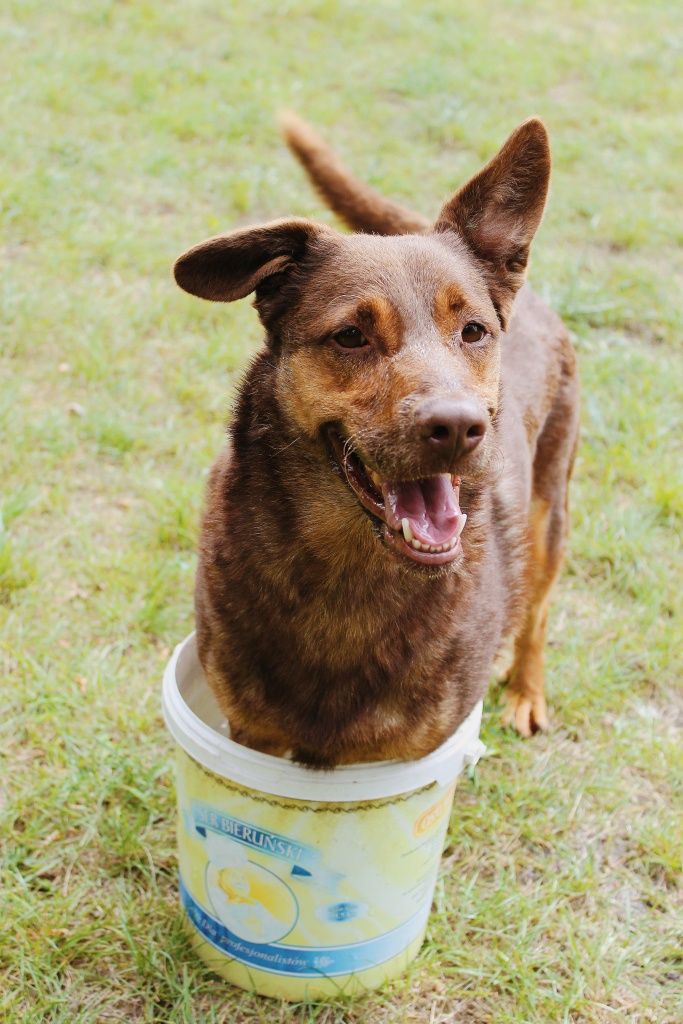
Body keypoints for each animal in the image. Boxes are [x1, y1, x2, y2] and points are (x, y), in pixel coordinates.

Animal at [174, 114, 581, 770]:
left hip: (550, 517)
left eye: (473, 331)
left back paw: (526, 691)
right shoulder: (251, 733)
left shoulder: (410, 754)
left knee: (538, 613)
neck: (350, 574)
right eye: (350, 336)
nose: (459, 428)